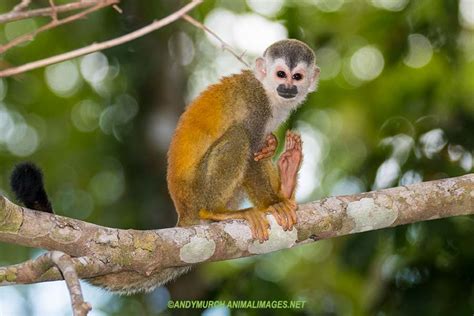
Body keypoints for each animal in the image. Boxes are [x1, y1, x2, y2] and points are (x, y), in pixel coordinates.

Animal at [9, 39, 320, 294]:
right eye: (280, 74)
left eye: (297, 76)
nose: (288, 88)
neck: (269, 94)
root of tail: (184, 213)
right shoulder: (257, 105)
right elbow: (252, 150)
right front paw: (273, 203)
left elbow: (260, 152)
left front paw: (279, 178)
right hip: (197, 191)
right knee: (239, 136)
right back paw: (216, 211)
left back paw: (287, 176)